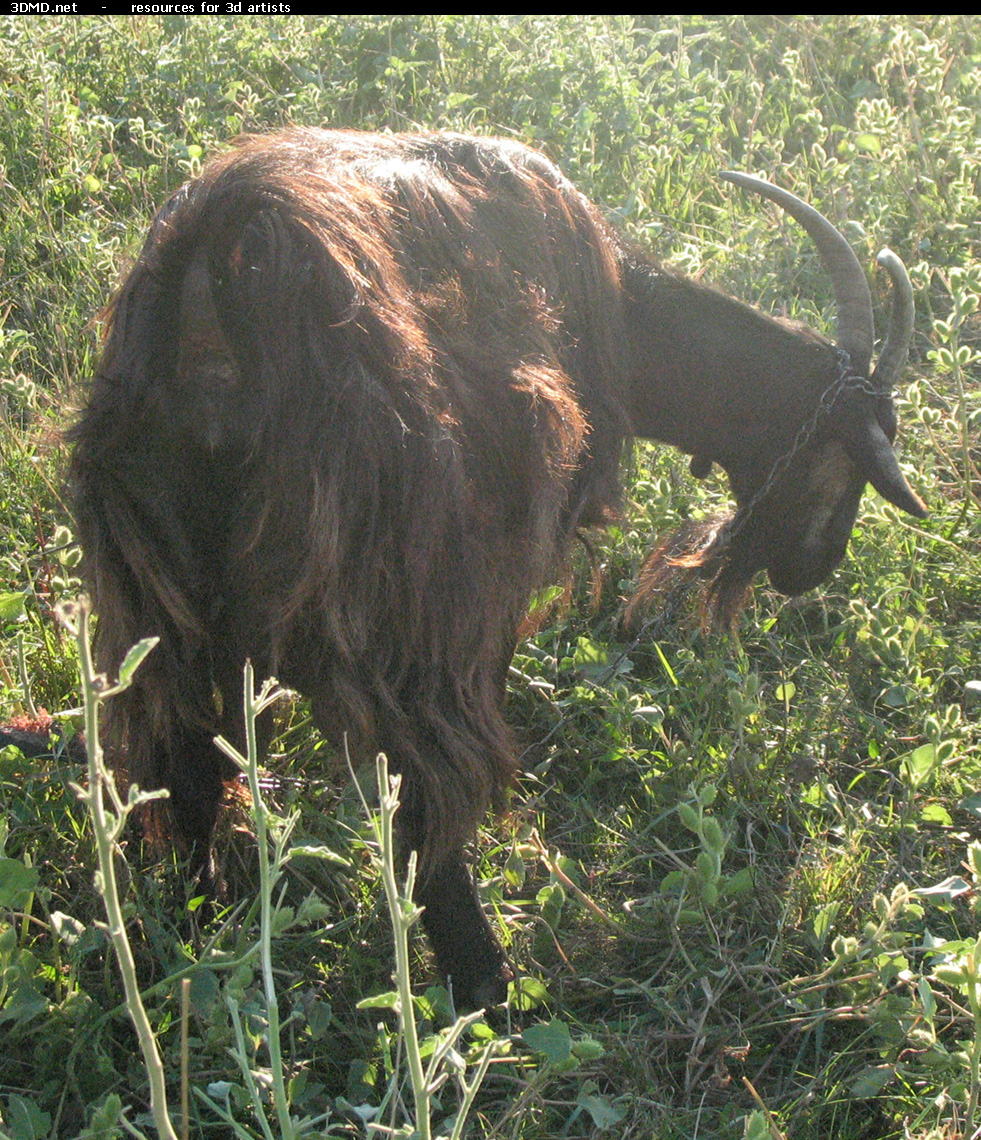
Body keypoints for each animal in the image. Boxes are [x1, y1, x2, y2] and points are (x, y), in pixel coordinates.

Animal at [70, 129, 925, 1012]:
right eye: (846, 458)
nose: (812, 568)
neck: (620, 310)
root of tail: (223, 265)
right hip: (401, 599)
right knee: (419, 784)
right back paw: (482, 978)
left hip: (153, 593)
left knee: (182, 759)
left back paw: (192, 930)